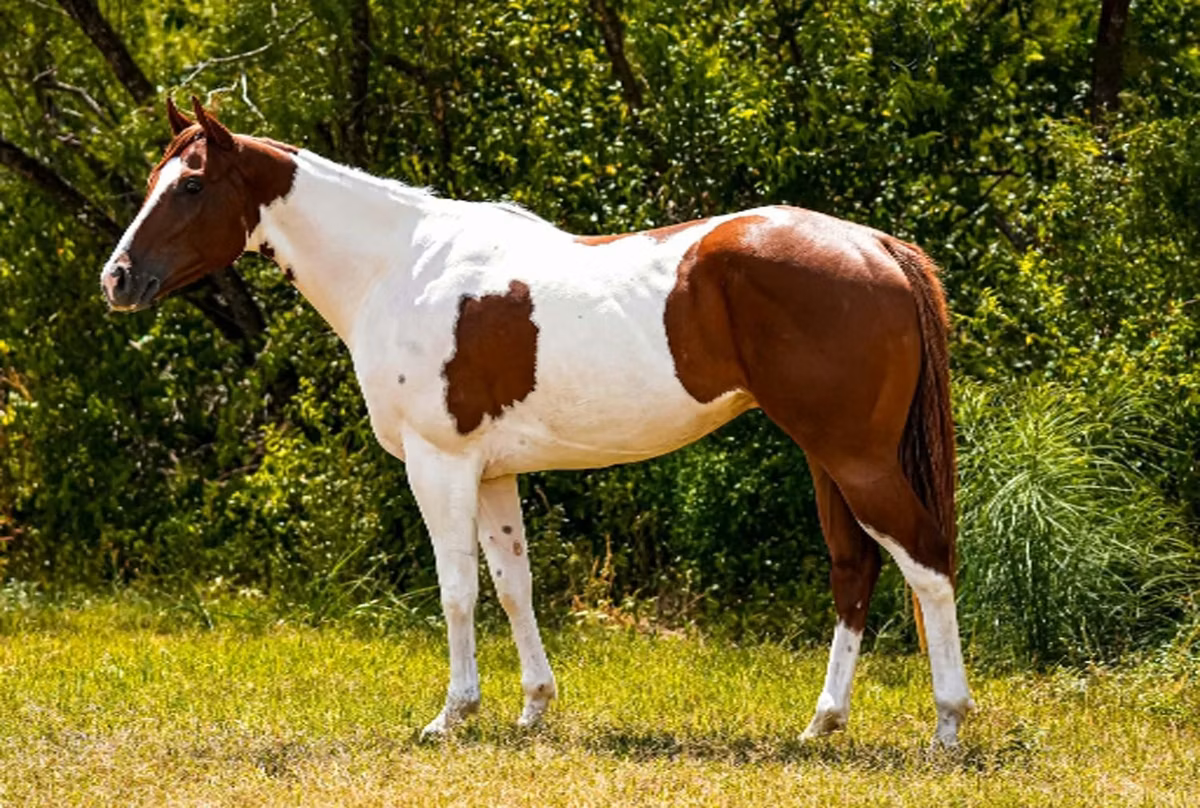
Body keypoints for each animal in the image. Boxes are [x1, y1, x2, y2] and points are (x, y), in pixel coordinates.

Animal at [99, 98, 974, 745]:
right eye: (153, 177)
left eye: (190, 186)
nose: (117, 279)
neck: (399, 266)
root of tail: (874, 246)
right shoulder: (494, 473)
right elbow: (513, 585)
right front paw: (532, 708)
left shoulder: (440, 463)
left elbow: (457, 589)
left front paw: (451, 716)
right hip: (829, 457)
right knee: (855, 570)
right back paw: (822, 723)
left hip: (855, 457)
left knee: (926, 562)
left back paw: (947, 725)